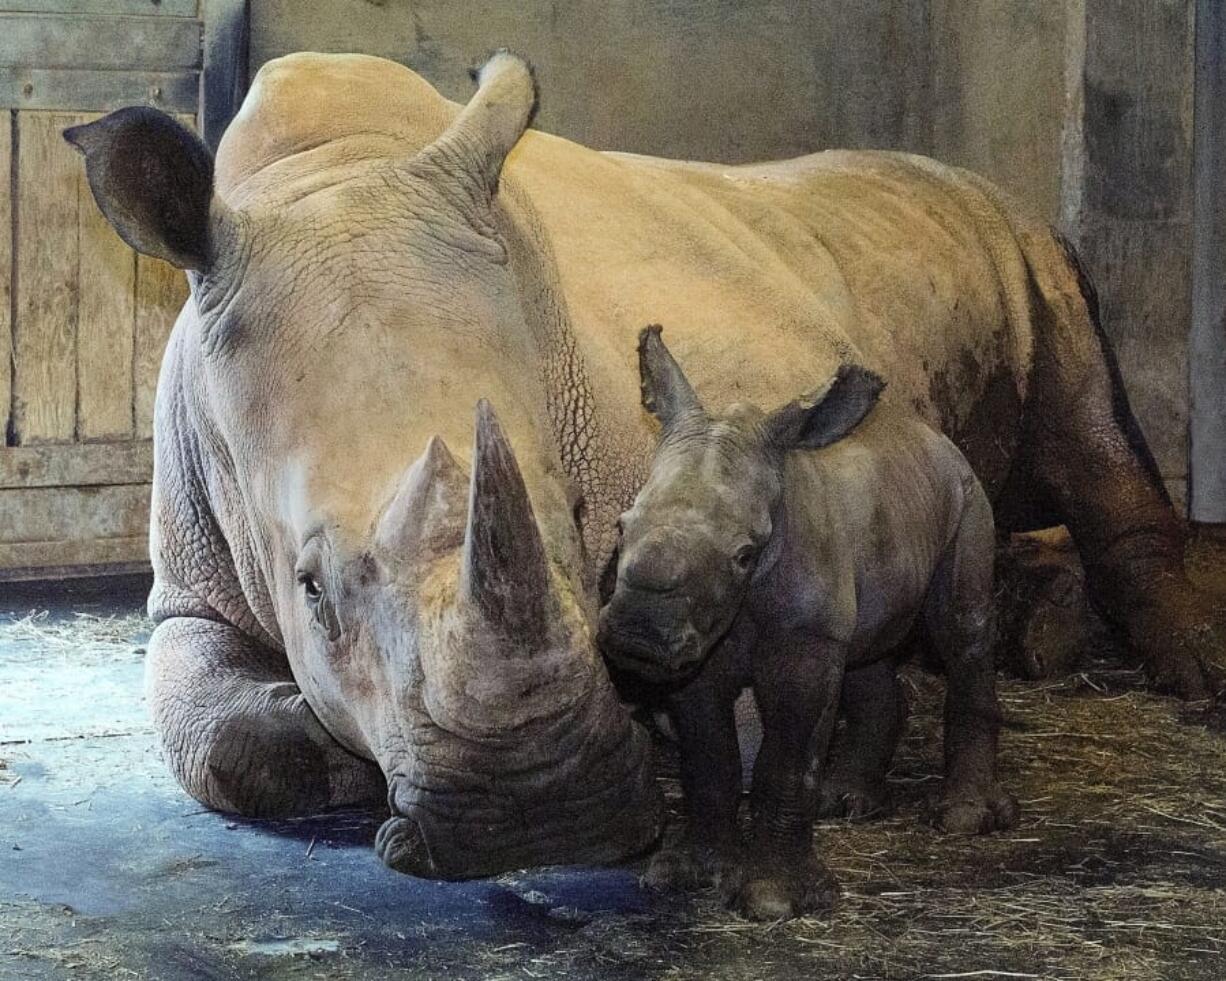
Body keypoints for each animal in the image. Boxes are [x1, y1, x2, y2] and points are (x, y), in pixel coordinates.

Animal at [598, 328, 1020, 922]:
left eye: (745, 555)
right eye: (620, 526)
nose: (637, 634)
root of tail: (929, 432)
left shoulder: (803, 641)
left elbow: (786, 758)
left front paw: (772, 900)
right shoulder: (695, 650)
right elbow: (708, 758)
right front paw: (688, 874)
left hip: (967, 494)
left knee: (962, 630)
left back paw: (964, 819)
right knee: (867, 648)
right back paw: (845, 803)